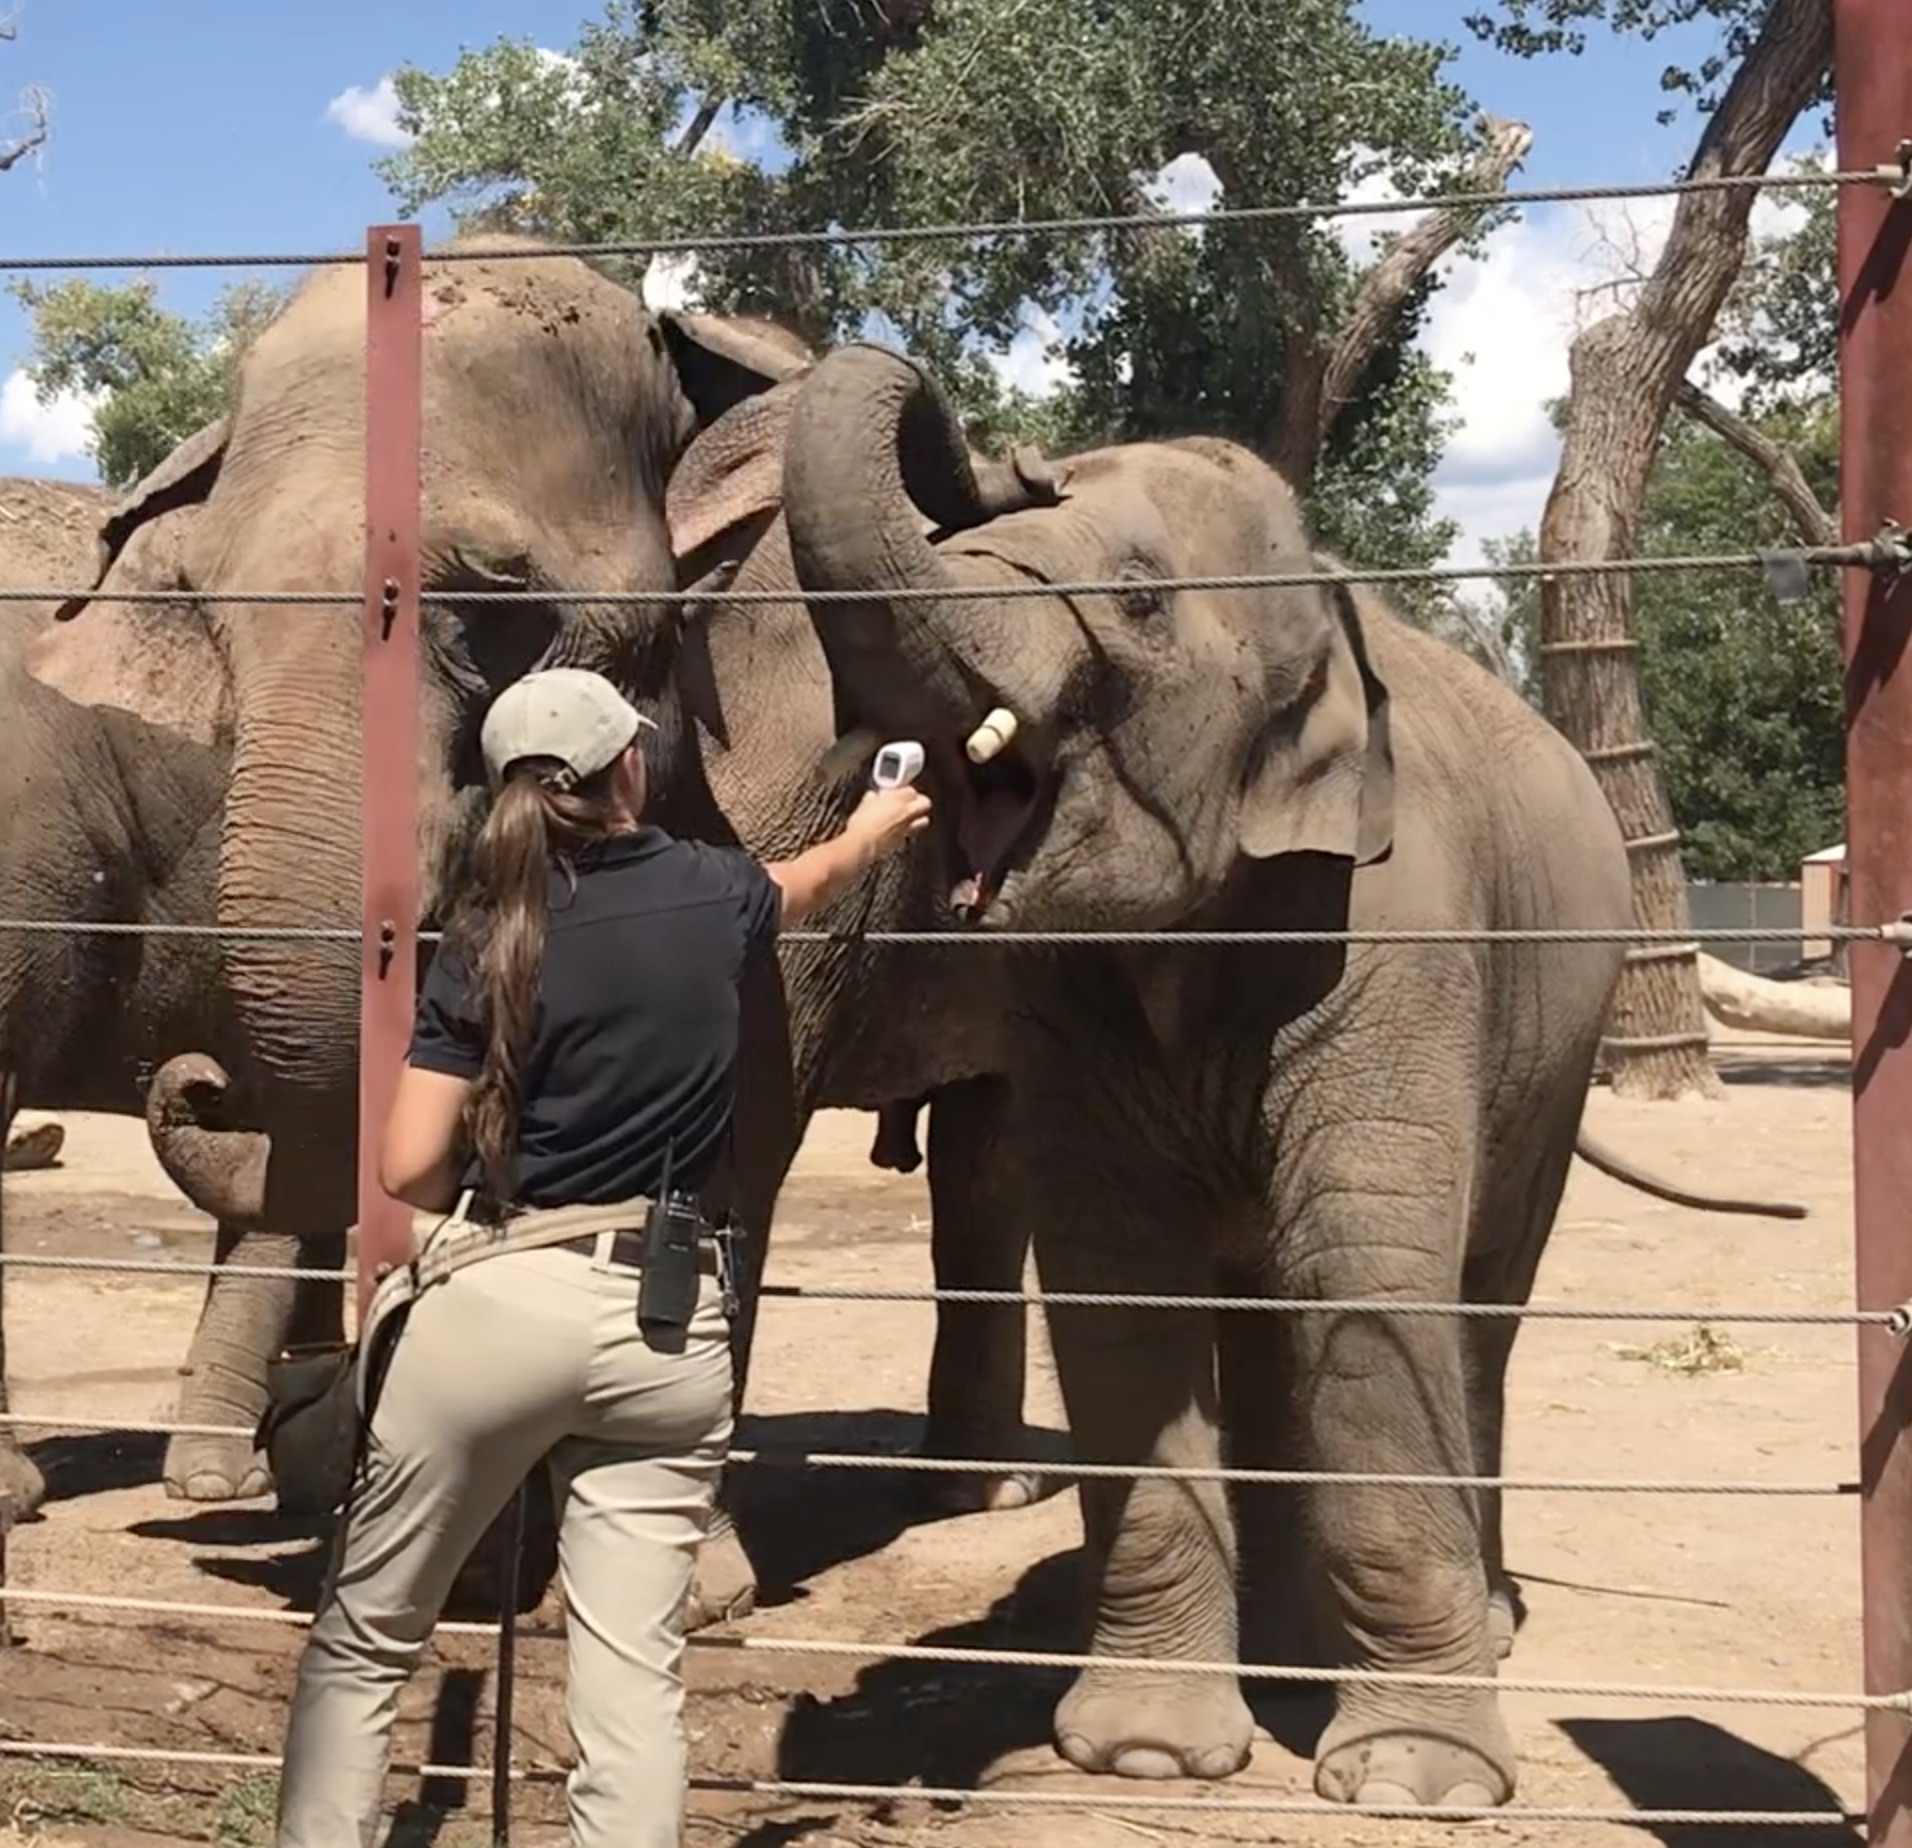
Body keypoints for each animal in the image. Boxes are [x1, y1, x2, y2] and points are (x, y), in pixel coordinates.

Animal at [764, 339, 1796, 1809]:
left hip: (1562, 1038)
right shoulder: (1063, 992)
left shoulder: (1400, 935)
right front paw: (1145, 1756)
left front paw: (1415, 1783)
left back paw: (1464, 1627)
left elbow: (1364, 1277)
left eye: (1137, 597)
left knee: (1475, 1308)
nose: (1001, 447)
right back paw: (1289, 1649)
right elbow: (1119, 1287)